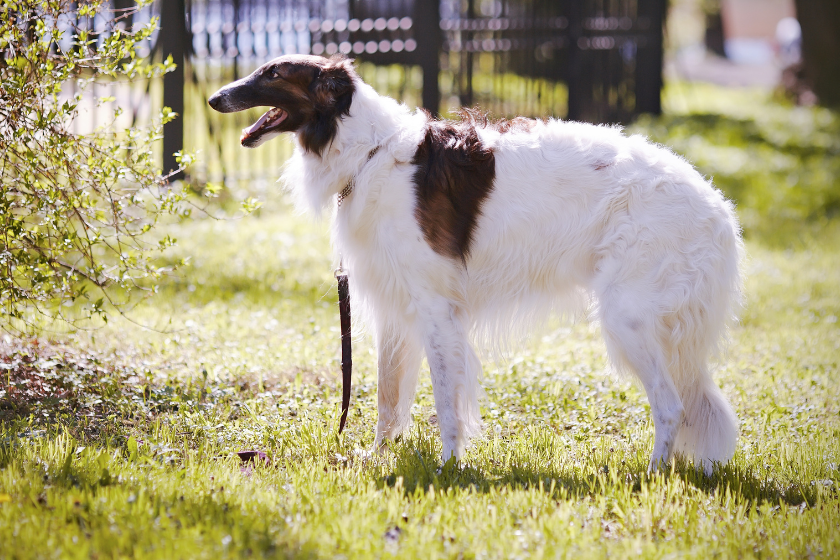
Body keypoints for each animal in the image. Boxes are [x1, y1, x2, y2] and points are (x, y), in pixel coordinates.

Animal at [210, 53, 740, 472]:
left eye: (273, 72)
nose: (215, 98)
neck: (369, 152)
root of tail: (717, 207)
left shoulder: (436, 309)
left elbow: (446, 402)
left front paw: (448, 465)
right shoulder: (395, 312)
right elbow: (387, 401)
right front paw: (377, 457)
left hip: (627, 318)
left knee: (671, 407)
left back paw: (652, 473)